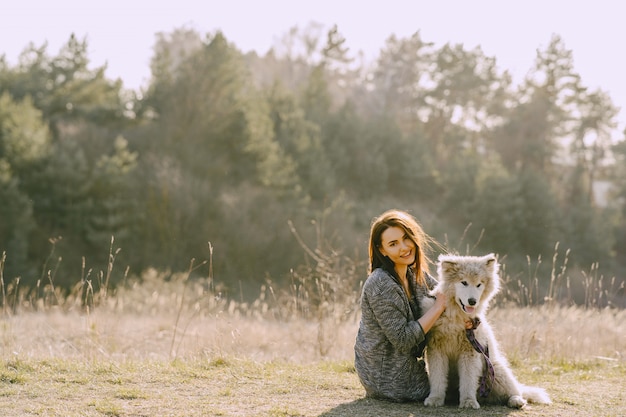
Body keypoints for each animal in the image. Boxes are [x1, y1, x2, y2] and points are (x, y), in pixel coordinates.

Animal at [420, 252, 552, 408]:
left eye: (479, 284)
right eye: (464, 282)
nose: (472, 301)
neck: (456, 318)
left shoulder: (470, 352)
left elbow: (468, 381)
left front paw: (468, 401)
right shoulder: (436, 350)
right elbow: (438, 378)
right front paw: (435, 399)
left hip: (496, 370)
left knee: (515, 390)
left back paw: (516, 401)